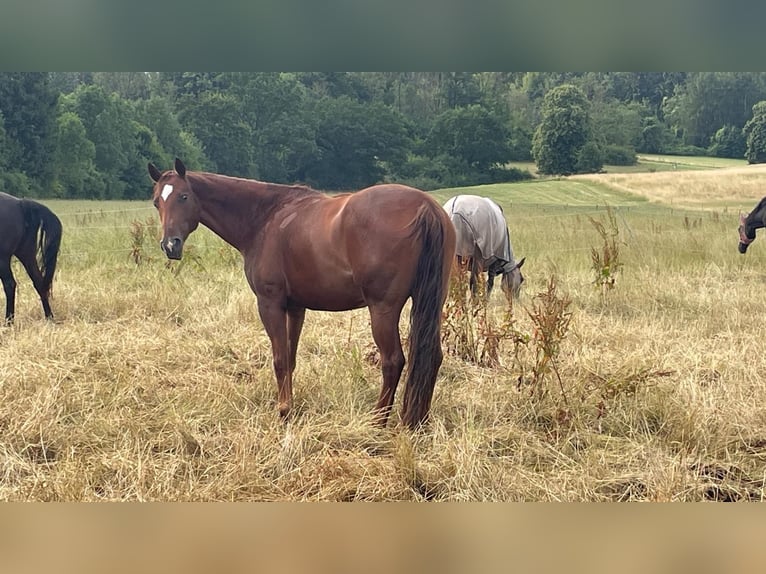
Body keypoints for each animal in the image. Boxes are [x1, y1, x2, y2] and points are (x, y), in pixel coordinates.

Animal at [0, 192, 63, 324]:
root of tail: (20, 203)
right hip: (26, 253)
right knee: (39, 282)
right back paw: (49, 318)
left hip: (3, 258)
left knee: (9, 284)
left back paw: (9, 322)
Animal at [148, 159, 456, 429]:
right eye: (156, 202)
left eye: (184, 196)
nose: (170, 245)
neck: (266, 218)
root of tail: (425, 207)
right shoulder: (296, 307)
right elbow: (290, 358)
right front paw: (291, 406)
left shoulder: (270, 304)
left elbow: (279, 359)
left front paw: (284, 411)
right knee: (432, 356)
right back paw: (418, 421)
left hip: (383, 310)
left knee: (393, 361)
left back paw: (378, 422)